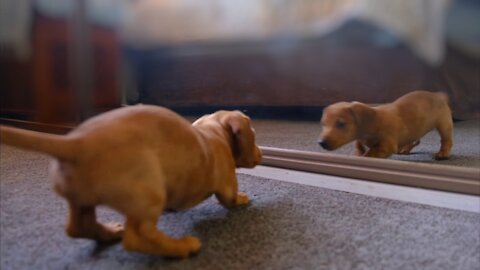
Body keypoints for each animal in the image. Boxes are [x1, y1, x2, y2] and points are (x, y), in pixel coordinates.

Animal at [0, 105, 262, 258]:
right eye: (254, 134)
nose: (260, 154)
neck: (213, 132)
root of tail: (77, 143)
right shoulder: (227, 181)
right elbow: (229, 198)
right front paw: (242, 199)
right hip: (150, 192)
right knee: (137, 237)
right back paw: (180, 247)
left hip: (80, 197)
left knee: (77, 226)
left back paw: (109, 232)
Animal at [318, 90, 454, 159]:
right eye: (323, 124)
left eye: (341, 124)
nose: (321, 143)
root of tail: (438, 95)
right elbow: (358, 144)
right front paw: (358, 152)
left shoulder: (387, 145)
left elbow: (373, 151)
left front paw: (366, 155)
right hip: (415, 129)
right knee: (415, 140)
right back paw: (405, 148)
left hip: (444, 124)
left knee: (446, 140)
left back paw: (443, 153)